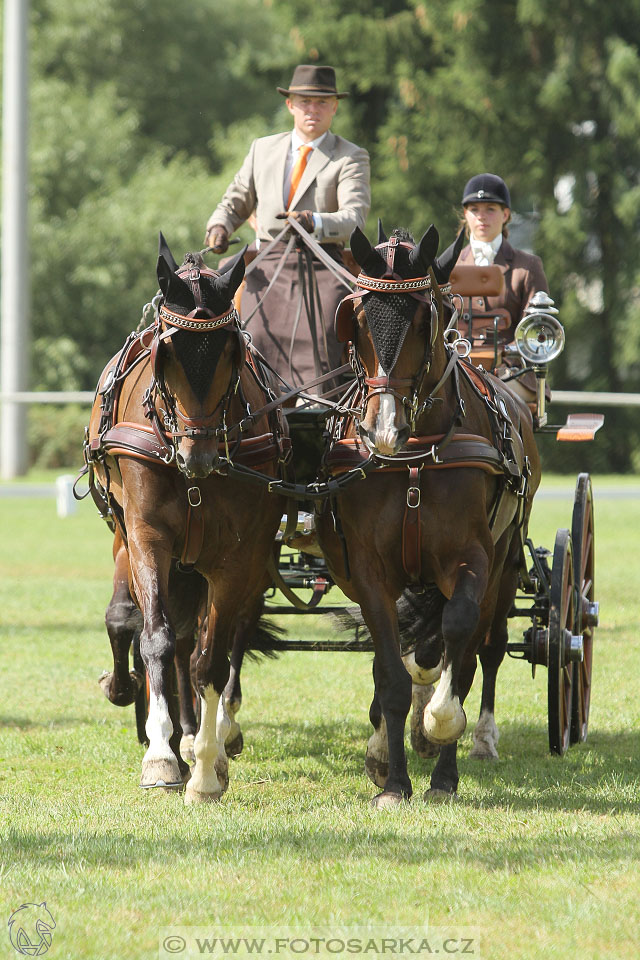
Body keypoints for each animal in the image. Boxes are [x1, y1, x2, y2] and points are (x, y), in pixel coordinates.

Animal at [89, 236, 288, 800]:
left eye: (230, 350)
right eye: (166, 353)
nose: (197, 455)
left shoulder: (238, 555)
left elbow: (212, 657)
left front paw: (205, 768)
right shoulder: (146, 536)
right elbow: (152, 636)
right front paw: (160, 755)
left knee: (212, 640)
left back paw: (205, 733)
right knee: (154, 631)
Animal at [316, 225, 540, 804]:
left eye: (426, 319)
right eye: (357, 318)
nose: (383, 430)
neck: (415, 455)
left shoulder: (472, 560)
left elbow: (457, 644)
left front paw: (441, 729)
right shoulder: (370, 571)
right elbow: (392, 672)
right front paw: (392, 778)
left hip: (505, 566)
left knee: (483, 649)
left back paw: (470, 745)